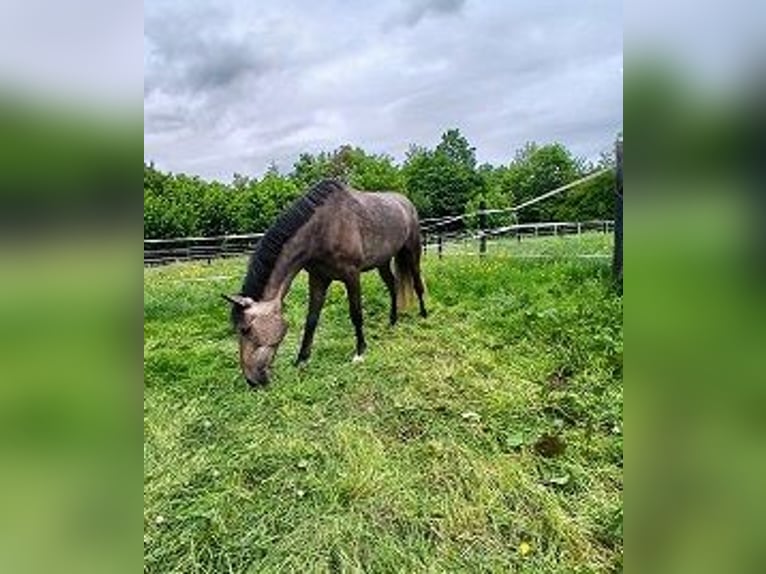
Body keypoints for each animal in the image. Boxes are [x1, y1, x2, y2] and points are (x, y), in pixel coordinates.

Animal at [223, 179, 427, 387]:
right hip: (382, 262)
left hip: (412, 251)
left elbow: (356, 314)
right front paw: (302, 359)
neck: (323, 228)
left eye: (245, 329)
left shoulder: (352, 276)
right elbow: (311, 319)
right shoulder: (318, 278)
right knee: (393, 286)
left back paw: (424, 315)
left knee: (417, 284)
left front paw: (360, 352)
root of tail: (406, 202)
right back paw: (392, 321)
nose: (251, 380)